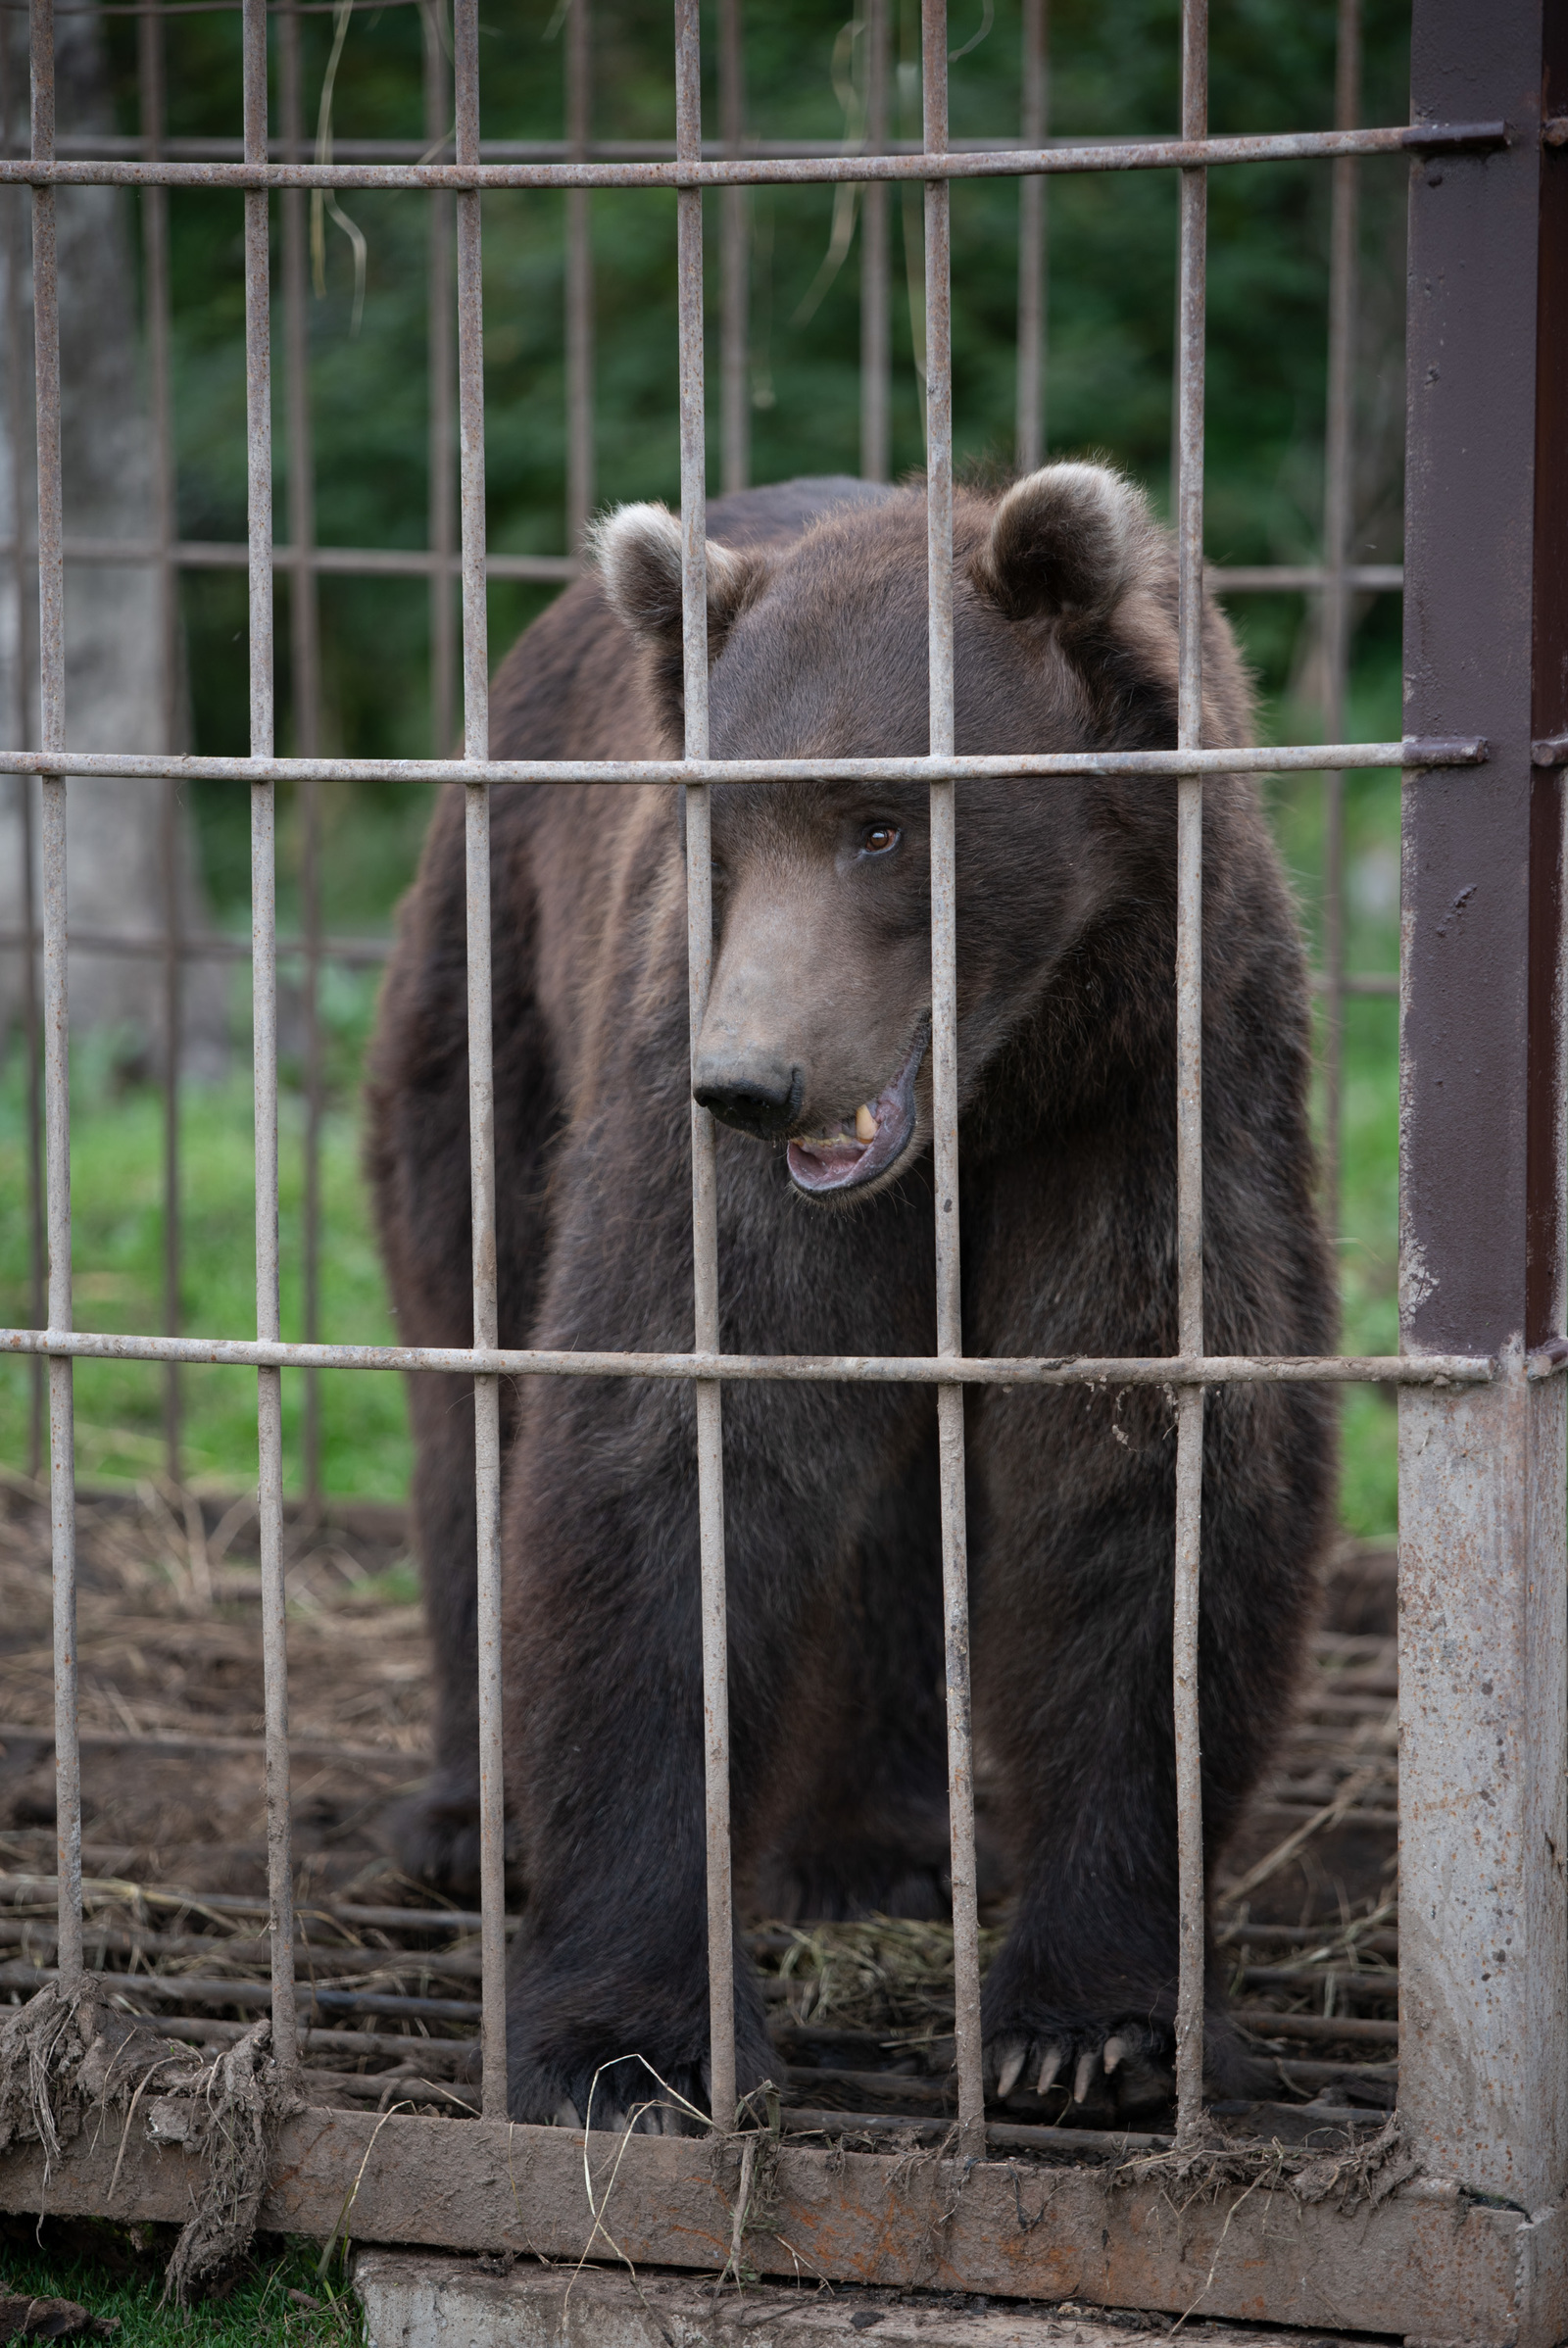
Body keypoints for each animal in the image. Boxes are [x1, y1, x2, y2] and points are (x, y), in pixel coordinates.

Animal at [368, 466, 1333, 2141]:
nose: (756, 1081)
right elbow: (669, 1460)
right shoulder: (692, 1123)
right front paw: (630, 2047)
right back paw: (476, 1814)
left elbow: (1145, 1473)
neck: (998, 1084)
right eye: (725, 825)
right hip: (489, 1004)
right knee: (462, 1371)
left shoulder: (1163, 1086)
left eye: (881, 822)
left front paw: (1091, 2032)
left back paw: (885, 1839)